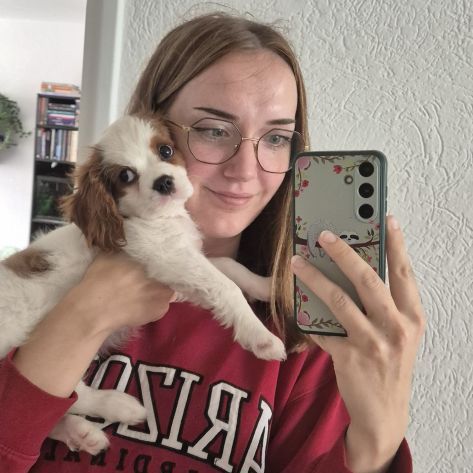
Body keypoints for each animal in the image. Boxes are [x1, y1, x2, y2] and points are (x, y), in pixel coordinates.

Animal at [0, 114, 286, 454]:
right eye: (126, 175)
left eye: (165, 150)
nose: (163, 182)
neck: (156, 218)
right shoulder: (166, 255)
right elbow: (226, 286)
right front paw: (260, 336)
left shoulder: (176, 267)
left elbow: (230, 267)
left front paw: (266, 285)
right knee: (61, 393)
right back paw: (118, 406)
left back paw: (81, 433)